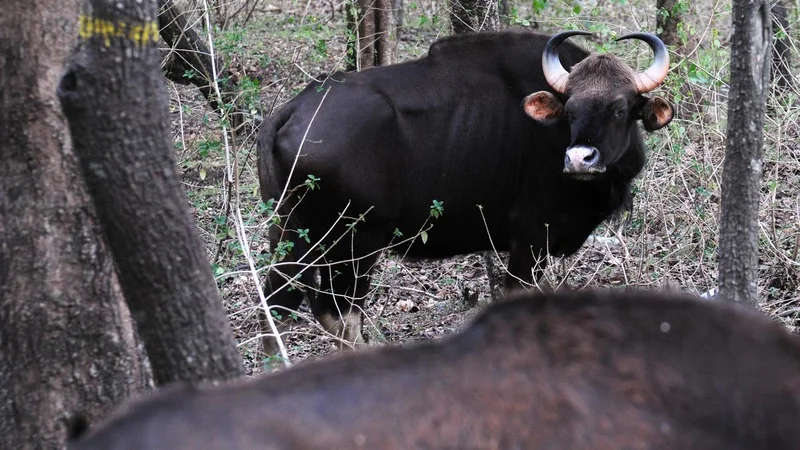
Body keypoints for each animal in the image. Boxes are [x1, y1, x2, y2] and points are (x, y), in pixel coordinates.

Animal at [257, 30, 674, 353]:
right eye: (570, 109)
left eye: (620, 109)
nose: (579, 159)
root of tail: (293, 109)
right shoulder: (530, 240)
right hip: (352, 243)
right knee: (339, 316)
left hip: (291, 235)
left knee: (277, 307)